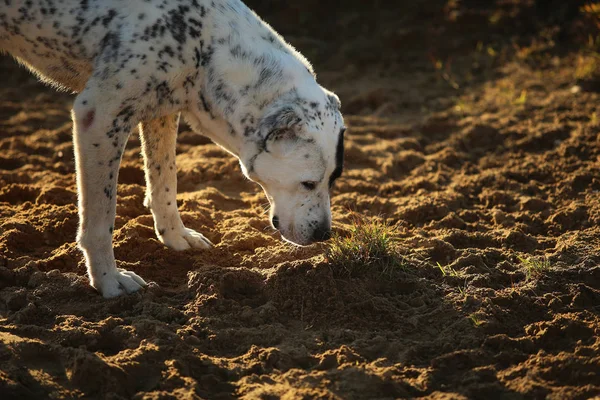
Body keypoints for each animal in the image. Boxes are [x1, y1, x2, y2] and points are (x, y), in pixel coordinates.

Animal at [0, 0, 344, 298]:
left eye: (334, 179)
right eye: (308, 183)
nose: (324, 235)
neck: (202, 41)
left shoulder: (161, 111)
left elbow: (164, 182)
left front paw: (176, 236)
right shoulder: (100, 115)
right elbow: (101, 216)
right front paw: (109, 280)